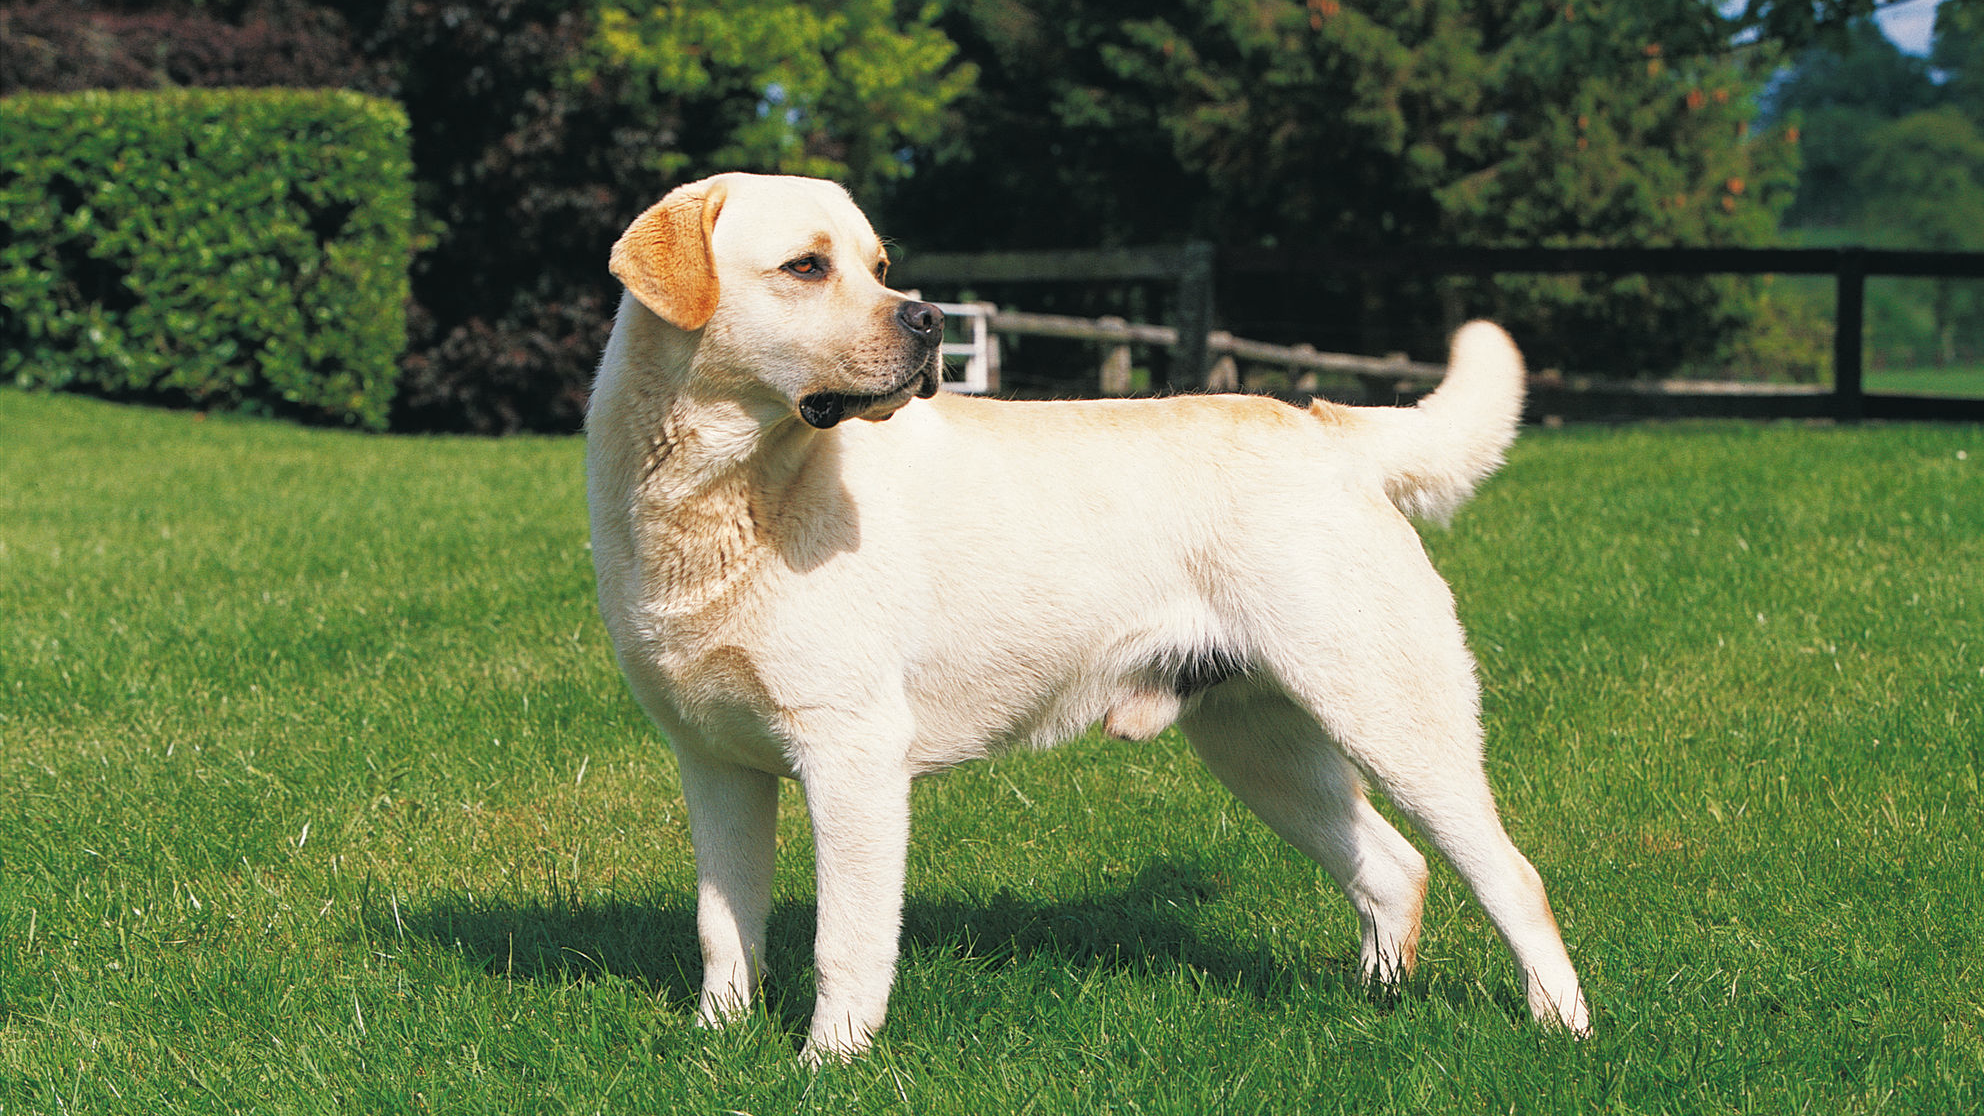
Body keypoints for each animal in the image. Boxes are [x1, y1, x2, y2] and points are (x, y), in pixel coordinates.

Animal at [587, 169, 1595, 1056]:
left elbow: (848, 940)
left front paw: (827, 1063)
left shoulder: (852, 757)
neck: (729, 496)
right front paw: (715, 1042)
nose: (931, 318)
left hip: (1393, 716)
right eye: (806, 266)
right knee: (1394, 869)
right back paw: (1372, 1007)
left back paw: (1562, 1030)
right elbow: (724, 928)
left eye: (877, 265)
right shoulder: (715, 764)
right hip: (1260, 744)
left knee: (1512, 877)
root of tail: (1325, 426)